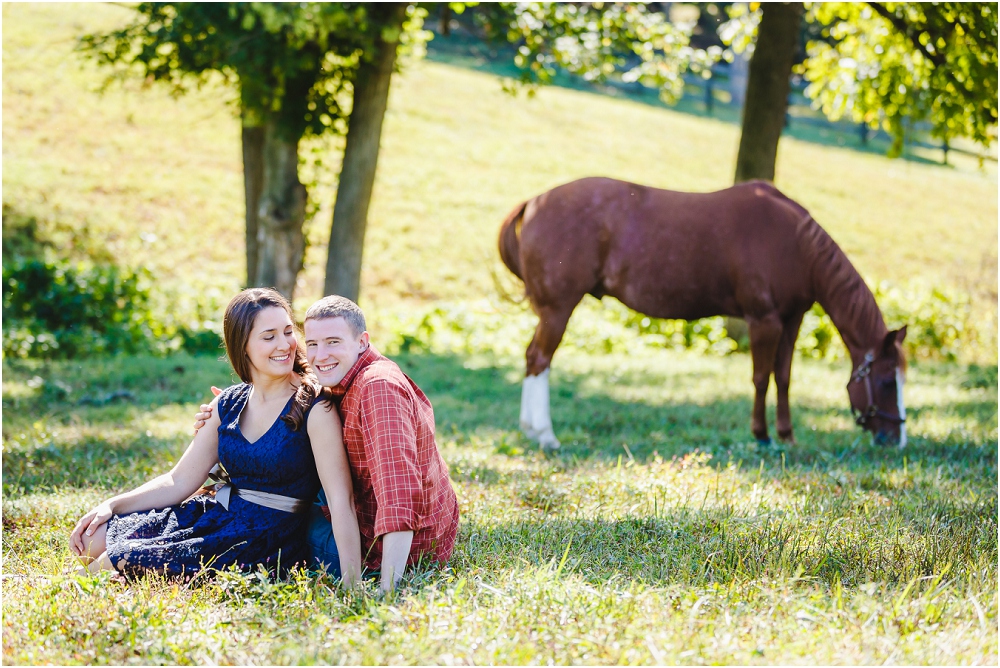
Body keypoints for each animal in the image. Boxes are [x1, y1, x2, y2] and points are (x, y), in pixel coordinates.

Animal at [496, 177, 912, 448]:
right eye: (886, 382)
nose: (898, 439)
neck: (795, 244)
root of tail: (535, 201)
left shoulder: (792, 320)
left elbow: (783, 378)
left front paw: (786, 435)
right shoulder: (764, 321)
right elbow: (761, 377)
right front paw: (761, 436)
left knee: (532, 358)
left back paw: (530, 429)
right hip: (558, 310)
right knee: (540, 360)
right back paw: (545, 434)